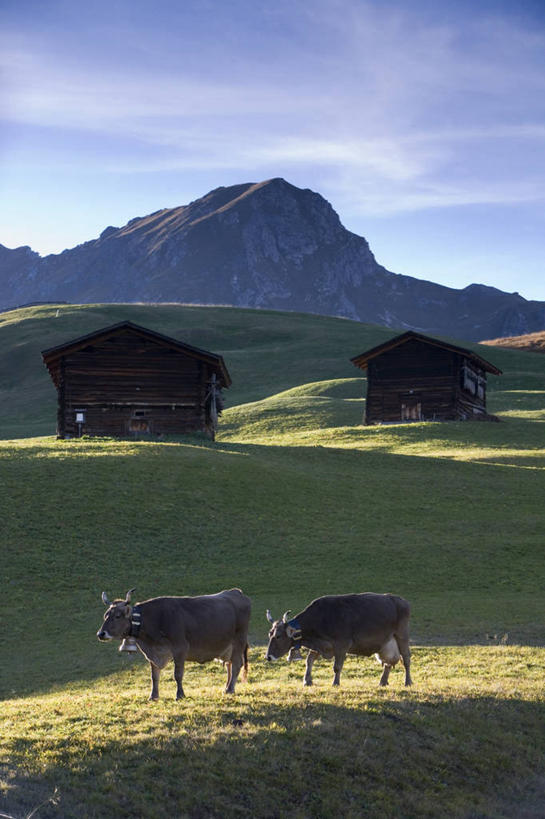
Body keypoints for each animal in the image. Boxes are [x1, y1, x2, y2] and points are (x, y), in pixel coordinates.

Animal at [96, 588, 250, 700]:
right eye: (105, 615)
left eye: (117, 616)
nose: (100, 634)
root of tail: (236, 592)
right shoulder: (152, 653)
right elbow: (154, 676)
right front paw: (153, 696)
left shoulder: (180, 649)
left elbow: (178, 674)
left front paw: (180, 695)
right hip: (227, 647)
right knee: (229, 665)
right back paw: (227, 688)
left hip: (239, 640)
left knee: (236, 664)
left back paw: (230, 689)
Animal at [264, 592, 412, 688]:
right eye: (270, 634)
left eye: (278, 636)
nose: (268, 657)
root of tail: (401, 600)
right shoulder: (320, 645)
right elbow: (309, 661)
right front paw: (307, 681)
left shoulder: (342, 645)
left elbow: (337, 666)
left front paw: (335, 683)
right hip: (385, 644)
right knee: (387, 662)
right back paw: (383, 682)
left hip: (402, 635)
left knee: (406, 659)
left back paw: (408, 682)